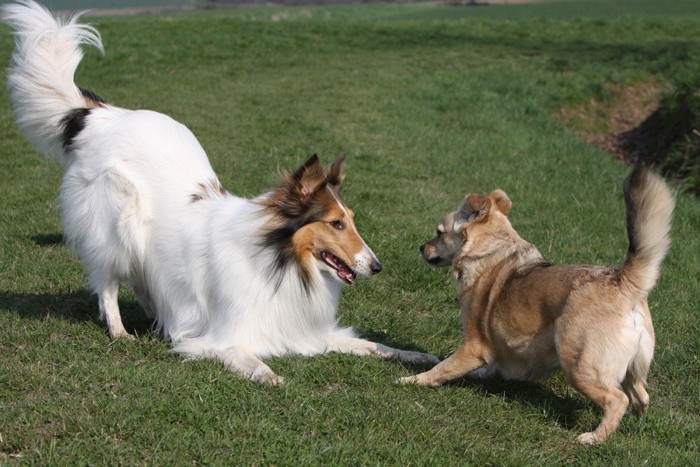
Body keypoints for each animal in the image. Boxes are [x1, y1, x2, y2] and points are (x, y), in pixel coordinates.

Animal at [1, 0, 438, 384]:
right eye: (335, 223)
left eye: (351, 220)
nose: (377, 266)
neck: (276, 259)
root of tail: (102, 115)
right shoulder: (222, 336)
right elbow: (244, 354)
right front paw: (269, 375)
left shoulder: (309, 331)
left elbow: (374, 345)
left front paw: (417, 355)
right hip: (116, 225)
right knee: (107, 282)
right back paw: (121, 330)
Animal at [402, 170, 676, 444]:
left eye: (438, 232)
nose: (420, 247)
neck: (490, 249)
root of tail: (622, 281)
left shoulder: (473, 346)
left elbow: (442, 368)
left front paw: (413, 379)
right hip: (630, 369)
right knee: (640, 395)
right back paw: (634, 419)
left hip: (579, 367)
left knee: (617, 399)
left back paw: (594, 437)